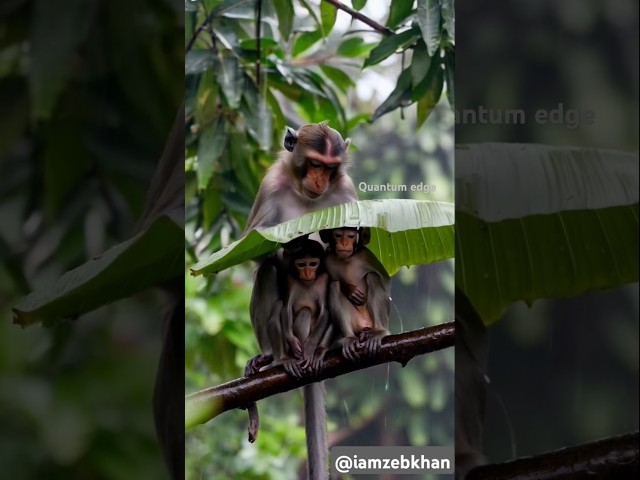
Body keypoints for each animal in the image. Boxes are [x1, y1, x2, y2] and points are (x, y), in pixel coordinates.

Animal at [320, 228, 390, 360]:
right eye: (338, 235)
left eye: (350, 236)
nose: (344, 243)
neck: (347, 258)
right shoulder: (327, 259)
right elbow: (329, 282)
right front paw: (350, 290)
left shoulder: (366, 255)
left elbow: (385, 280)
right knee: (334, 286)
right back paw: (348, 338)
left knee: (372, 277)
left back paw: (379, 331)